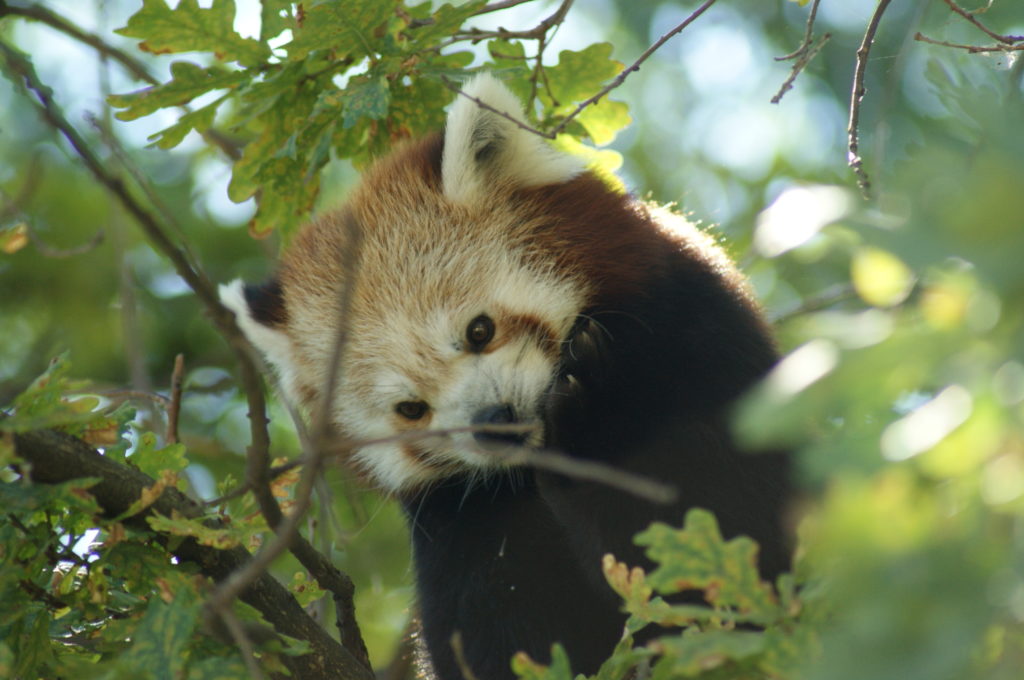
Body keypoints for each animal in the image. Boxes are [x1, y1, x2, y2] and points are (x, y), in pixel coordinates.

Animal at [218, 74, 790, 680]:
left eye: (479, 330)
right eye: (411, 409)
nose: (495, 423)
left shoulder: (706, 349)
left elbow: (726, 530)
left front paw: (600, 423)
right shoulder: (462, 526)